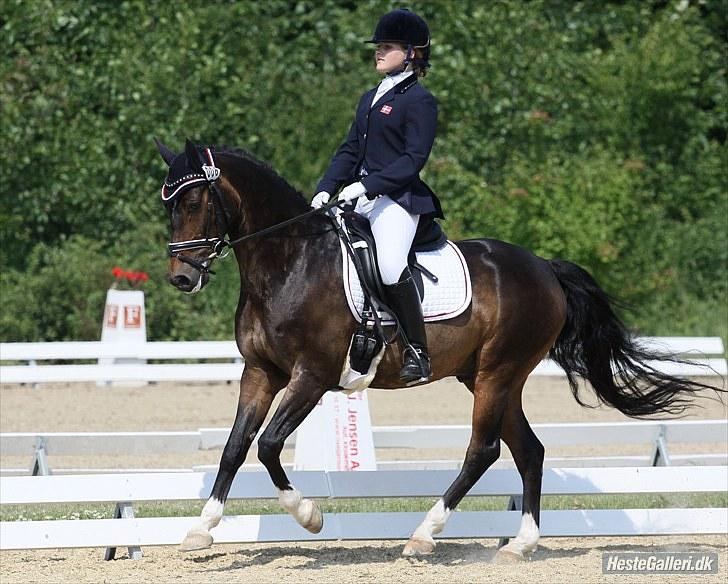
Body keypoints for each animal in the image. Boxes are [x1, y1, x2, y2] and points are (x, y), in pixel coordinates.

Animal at [155, 138, 724, 560]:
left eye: (194, 203)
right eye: (169, 206)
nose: (182, 278)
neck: (289, 262)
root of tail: (543, 267)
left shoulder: (311, 377)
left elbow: (269, 444)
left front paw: (310, 516)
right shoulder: (260, 372)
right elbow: (235, 446)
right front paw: (200, 529)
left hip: (497, 372)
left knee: (484, 450)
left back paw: (424, 535)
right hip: (491, 377)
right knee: (529, 450)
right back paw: (519, 544)